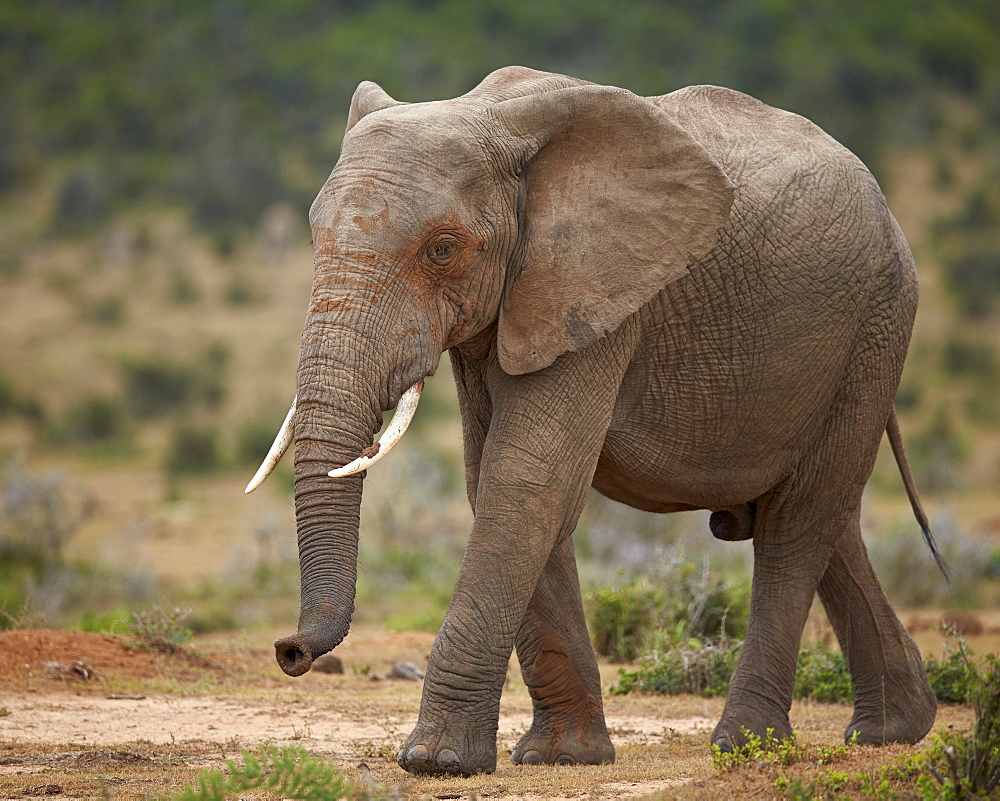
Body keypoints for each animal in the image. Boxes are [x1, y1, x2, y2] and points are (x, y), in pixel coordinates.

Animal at [246, 69, 940, 776]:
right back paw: (894, 730)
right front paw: (564, 756)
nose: (290, 652)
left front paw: (436, 760)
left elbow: (527, 478)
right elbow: (497, 479)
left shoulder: (597, 296)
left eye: (443, 249)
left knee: (799, 523)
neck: (488, 115)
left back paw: (748, 744)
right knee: (827, 519)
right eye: (314, 240)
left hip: (876, 328)